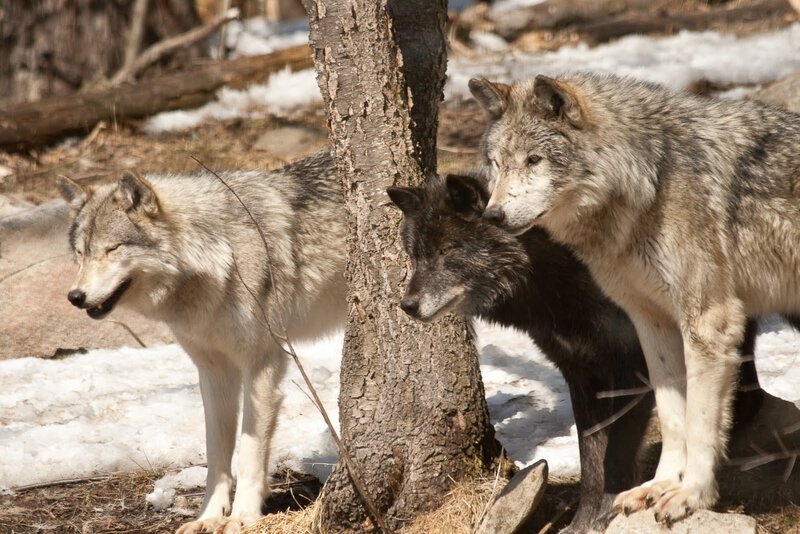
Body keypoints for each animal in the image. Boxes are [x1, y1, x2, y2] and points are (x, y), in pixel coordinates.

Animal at [57, 151, 346, 533]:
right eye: (80, 253)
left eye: (112, 249)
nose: (75, 296)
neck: (221, 255)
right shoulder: (214, 372)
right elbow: (217, 454)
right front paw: (208, 517)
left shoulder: (262, 364)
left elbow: (250, 451)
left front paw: (242, 517)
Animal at [387, 173, 785, 532]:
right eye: (414, 255)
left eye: (447, 251)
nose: (407, 305)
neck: (555, 275)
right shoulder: (580, 374)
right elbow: (591, 458)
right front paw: (584, 522)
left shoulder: (630, 368)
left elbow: (615, 454)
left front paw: (607, 515)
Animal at [468, 72, 800, 524]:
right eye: (497, 164)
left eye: (534, 160)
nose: (494, 216)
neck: (651, 181)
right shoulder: (653, 322)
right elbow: (672, 414)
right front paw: (659, 486)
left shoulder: (709, 322)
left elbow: (699, 422)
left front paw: (691, 495)